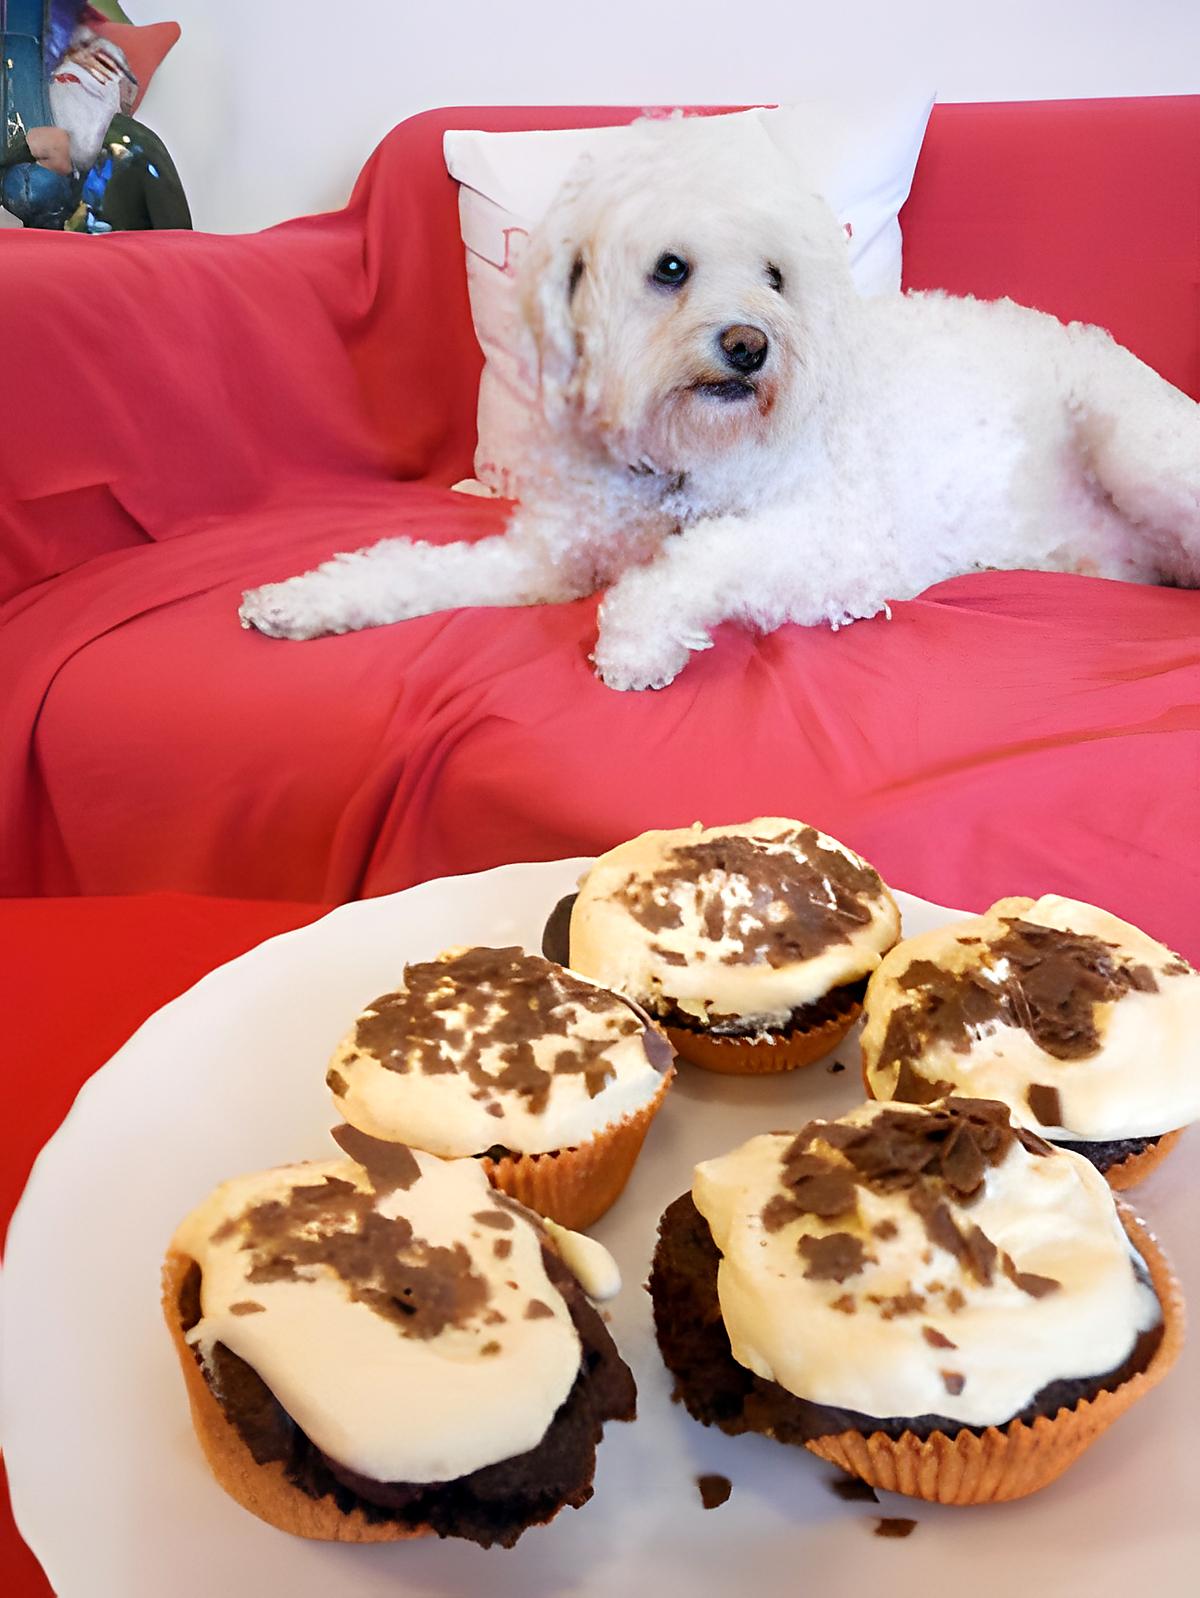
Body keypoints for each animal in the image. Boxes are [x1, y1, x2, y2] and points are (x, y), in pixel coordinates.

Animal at [241, 112, 1200, 687]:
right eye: (671, 268)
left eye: (776, 276)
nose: (750, 343)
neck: (677, 459)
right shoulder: (545, 562)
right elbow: (415, 568)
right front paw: (305, 600)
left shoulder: (838, 550)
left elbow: (704, 557)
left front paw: (635, 640)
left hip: (1136, 446)